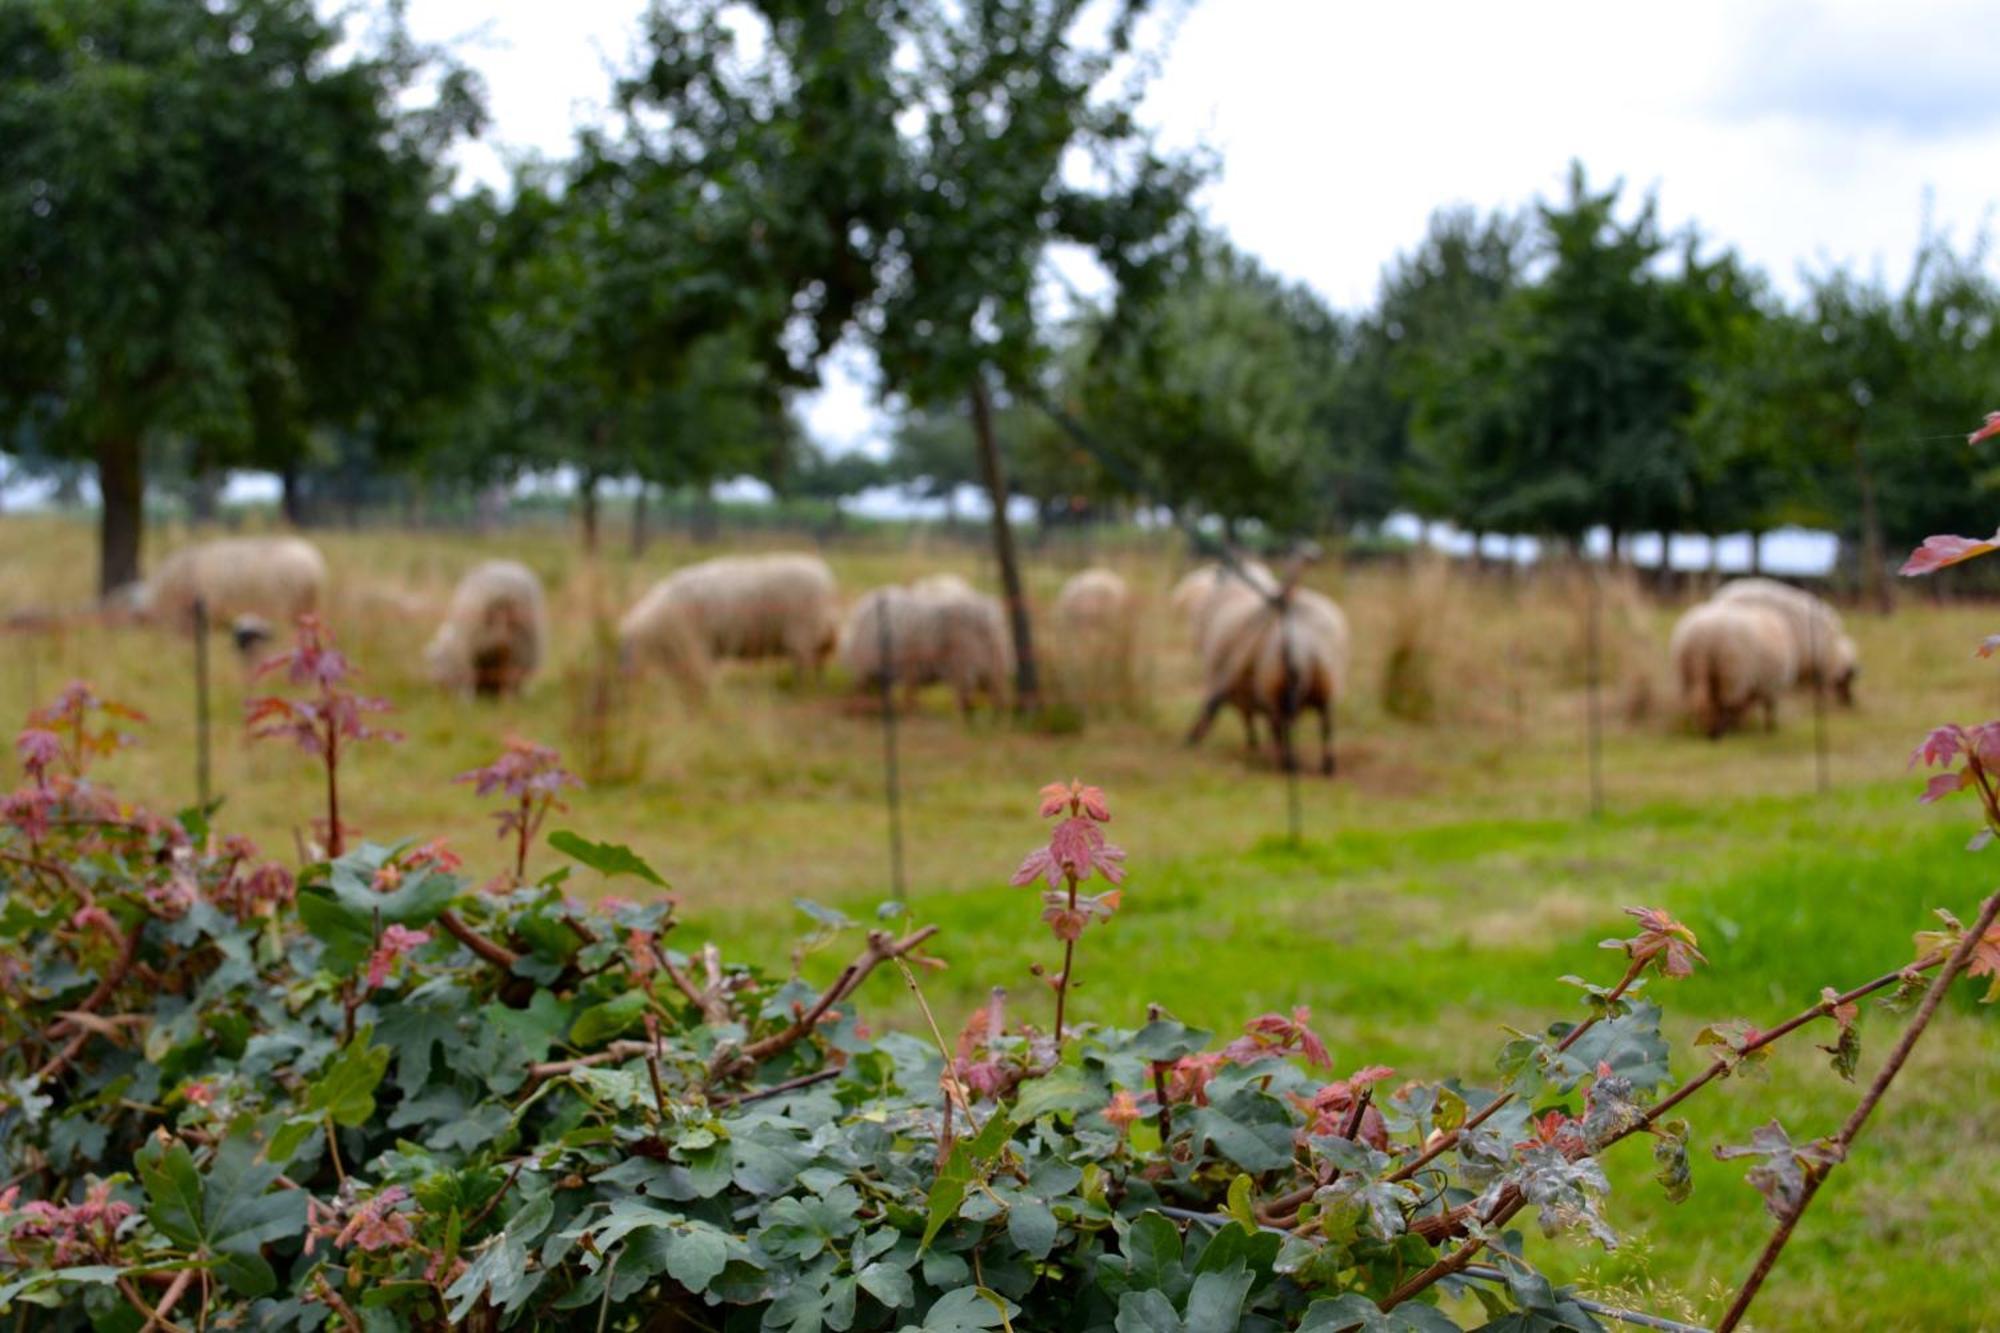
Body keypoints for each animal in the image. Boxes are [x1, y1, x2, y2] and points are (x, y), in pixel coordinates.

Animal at [424, 556, 548, 696]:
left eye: (436, 660)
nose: (435, 680)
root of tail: (503, 588)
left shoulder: (463, 654)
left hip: (472, 642)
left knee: (471, 675)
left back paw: (468, 698)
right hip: (522, 644)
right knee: (511, 676)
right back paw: (509, 698)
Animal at [624, 552, 844, 696]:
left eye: (627, 649)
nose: (625, 678)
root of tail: (827, 580)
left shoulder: (696, 649)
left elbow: (701, 680)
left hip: (803, 633)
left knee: (804, 665)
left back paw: (803, 691)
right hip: (815, 635)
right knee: (818, 663)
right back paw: (817, 687)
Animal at [1664, 600, 1792, 736]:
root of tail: (1702, 634)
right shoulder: (1771, 687)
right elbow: (1769, 707)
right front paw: (1769, 728)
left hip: (1692, 670)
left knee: (1696, 699)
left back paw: (1700, 726)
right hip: (1730, 672)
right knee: (1721, 702)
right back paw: (1716, 730)